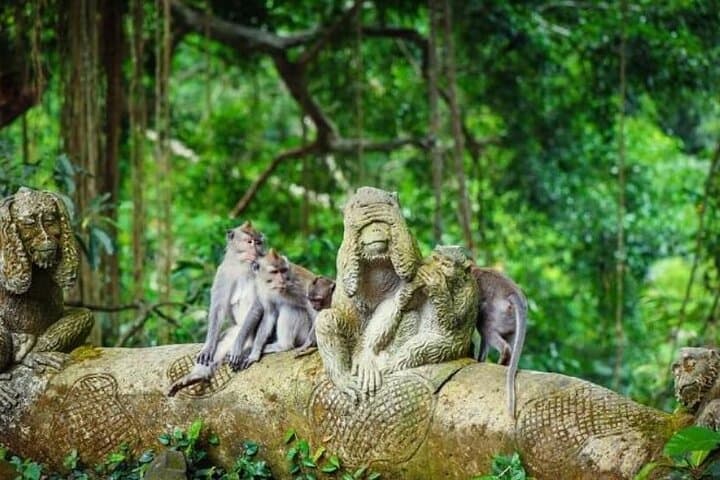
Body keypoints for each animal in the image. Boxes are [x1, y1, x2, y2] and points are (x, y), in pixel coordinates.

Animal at [167, 221, 264, 397]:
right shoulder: (223, 271)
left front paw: (237, 349)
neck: (243, 266)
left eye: (259, 243)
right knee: (225, 339)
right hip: (236, 329)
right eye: (249, 242)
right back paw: (196, 376)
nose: (256, 251)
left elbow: (258, 306)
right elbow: (218, 309)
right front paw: (208, 347)